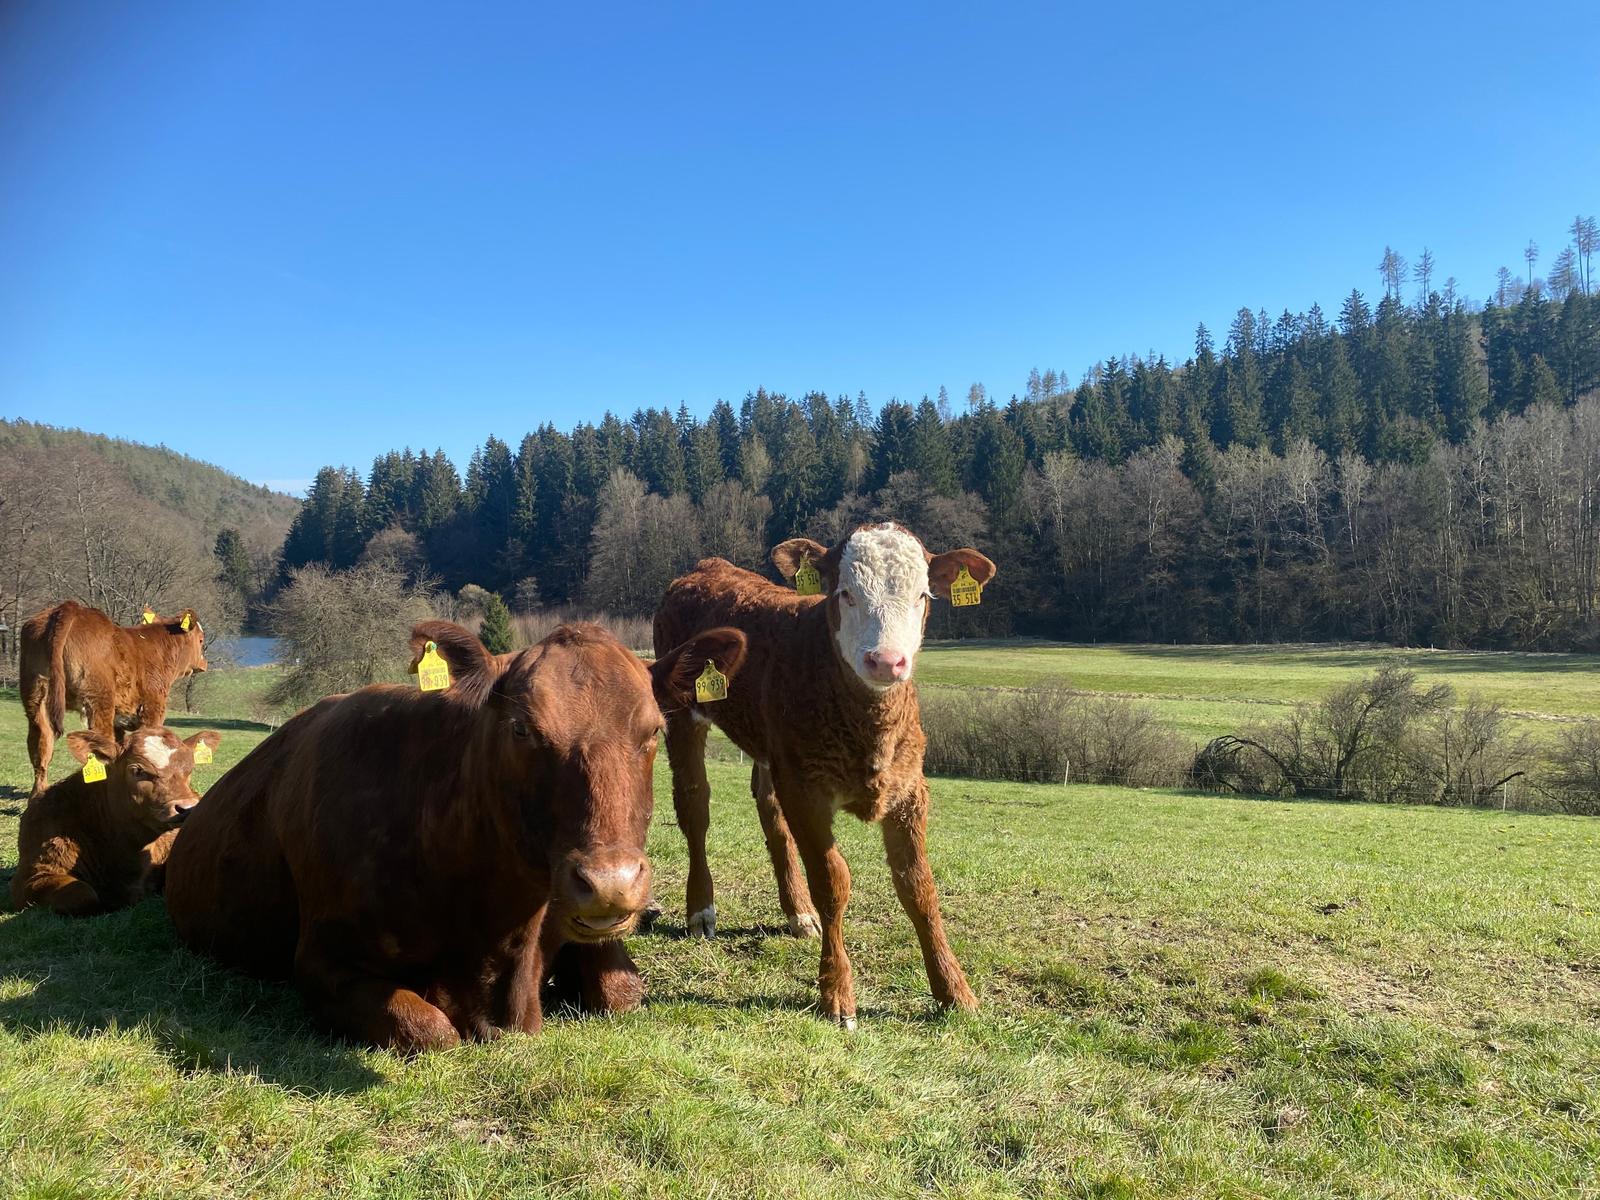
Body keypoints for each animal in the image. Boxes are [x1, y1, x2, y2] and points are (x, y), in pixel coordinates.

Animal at [19, 601, 209, 797]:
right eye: (201, 640)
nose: (204, 663)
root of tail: (70, 607)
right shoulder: (153, 707)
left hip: (36, 696)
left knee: (40, 746)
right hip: (98, 700)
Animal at [164, 619, 747, 1053]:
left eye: (654, 730)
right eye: (520, 728)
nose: (611, 884)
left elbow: (623, 992)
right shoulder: (323, 960)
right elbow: (432, 1030)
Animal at [652, 521, 996, 1028]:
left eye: (922, 595)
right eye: (845, 593)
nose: (886, 661)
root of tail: (706, 567)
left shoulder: (910, 789)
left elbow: (919, 887)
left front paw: (955, 991)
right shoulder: (807, 791)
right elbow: (833, 883)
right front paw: (837, 993)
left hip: (771, 749)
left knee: (769, 810)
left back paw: (797, 913)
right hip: (683, 713)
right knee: (694, 804)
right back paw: (701, 910)